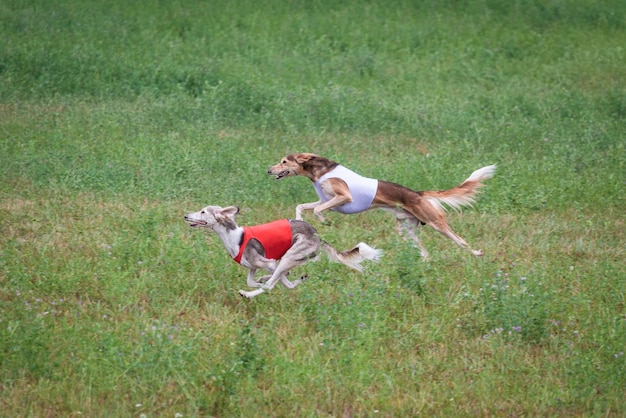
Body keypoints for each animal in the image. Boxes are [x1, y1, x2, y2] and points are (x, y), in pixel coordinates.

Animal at [183, 205, 382, 298]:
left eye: (203, 211)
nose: (185, 216)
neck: (234, 237)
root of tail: (318, 235)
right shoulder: (253, 266)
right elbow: (252, 280)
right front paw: (260, 280)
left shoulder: (268, 263)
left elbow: (273, 283)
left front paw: (258, 286)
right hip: (292, 257)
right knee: (284, 279)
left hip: (289, 256)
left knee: (274, 284)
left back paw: (248, 294)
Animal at [266, 153, 494, 258]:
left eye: (284, 161)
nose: (269, 170)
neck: (320, 172)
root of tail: (417, 194)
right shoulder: (326, 200)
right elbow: (303, 206)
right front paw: (300, 221)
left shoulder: (343, 198)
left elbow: (316, 210)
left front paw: (324, 220)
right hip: (405, 229)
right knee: (424, 252)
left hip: (434, 221)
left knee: (460, 240)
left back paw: (476, 254)